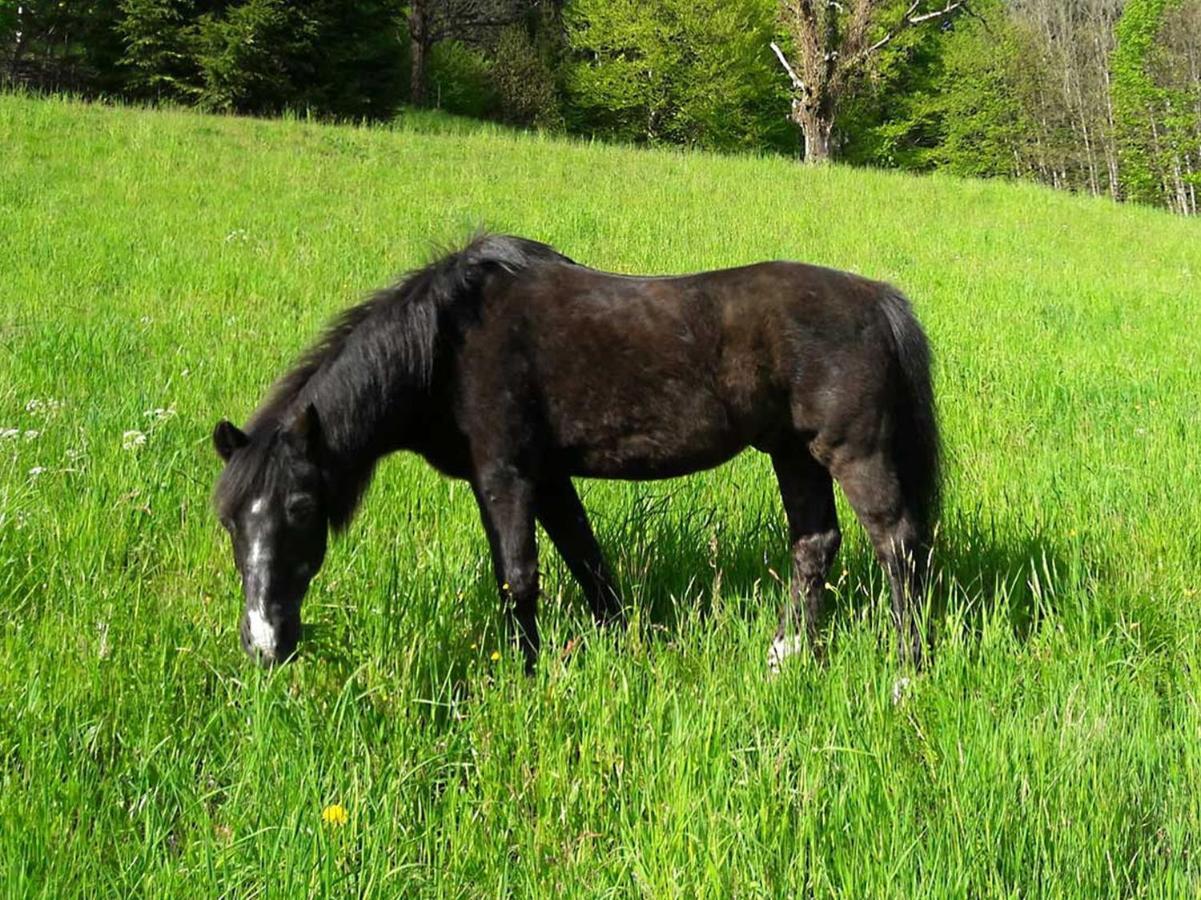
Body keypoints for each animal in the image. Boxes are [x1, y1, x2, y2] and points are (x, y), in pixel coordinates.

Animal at [211, 235, 936, 672]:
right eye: (229, 521)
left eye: (303, 506)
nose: (264, 643)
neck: (446, 344)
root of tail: (878, 300)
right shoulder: (551, 478)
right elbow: (589, 563)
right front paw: (624, 649)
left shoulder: (504, 476)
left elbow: (519, 577)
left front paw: (524, 675)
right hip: (793, 452)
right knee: (815, 544)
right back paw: (788, 656)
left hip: (854, 453)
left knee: (896, 546)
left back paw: (907, 671)